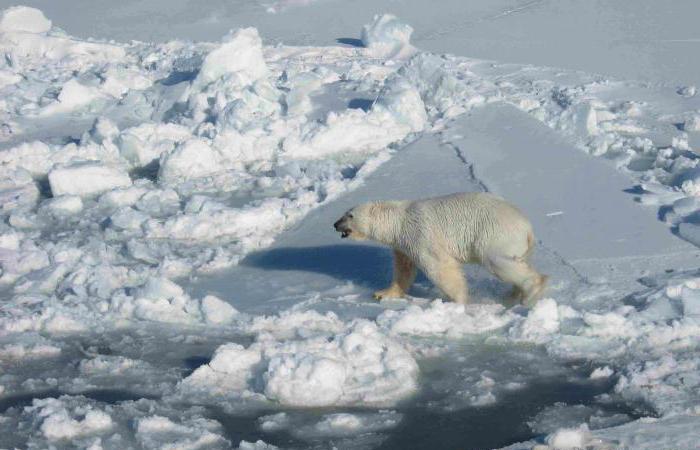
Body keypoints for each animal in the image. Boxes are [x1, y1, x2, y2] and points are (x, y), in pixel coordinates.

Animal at [334, 192, 548, 304]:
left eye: (349, 215)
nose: (335, 224)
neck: (398, 221)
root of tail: (527, 227)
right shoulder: (402, 245)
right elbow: (404, 270)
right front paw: (383, 293)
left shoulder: (419, 234)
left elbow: (439, 265)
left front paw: (458, 300)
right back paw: (513, 295)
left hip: (494, 235)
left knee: (498, 261)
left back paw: (532, 290)